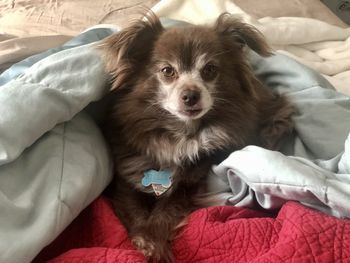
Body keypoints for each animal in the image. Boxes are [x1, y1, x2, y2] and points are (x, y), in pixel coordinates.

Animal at [99, 11, 296, 263]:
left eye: (210, 69)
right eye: (167, 71)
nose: (191, 95)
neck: (181, 134)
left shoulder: (192, 182)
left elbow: (168, 209)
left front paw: (155, 242)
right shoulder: (126, 178)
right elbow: (134, 209)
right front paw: (147, 242)